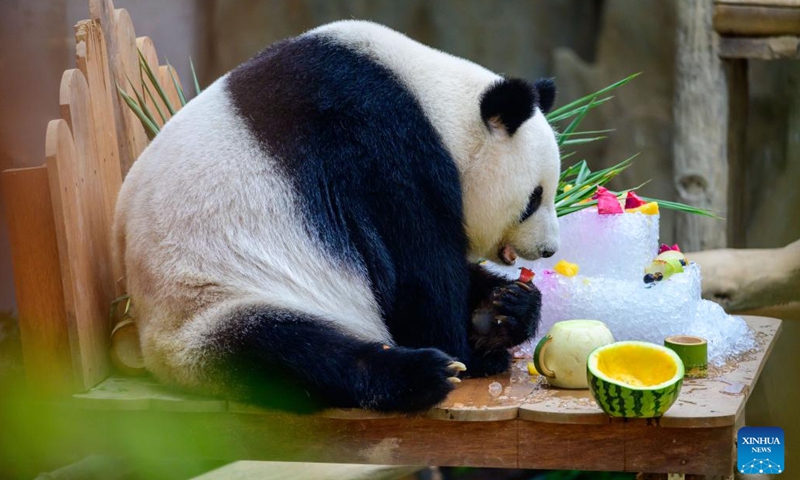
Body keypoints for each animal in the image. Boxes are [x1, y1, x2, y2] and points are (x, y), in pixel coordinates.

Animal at [112, 20, 560, 412]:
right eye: (534, 198)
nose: (550, 249)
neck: (437, 105)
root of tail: (152, 350)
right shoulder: (380, 145)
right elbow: (415, 269)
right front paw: (469, 352)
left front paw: (506, 309)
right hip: (215, 301)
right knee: (291, 350)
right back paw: (418, 374)